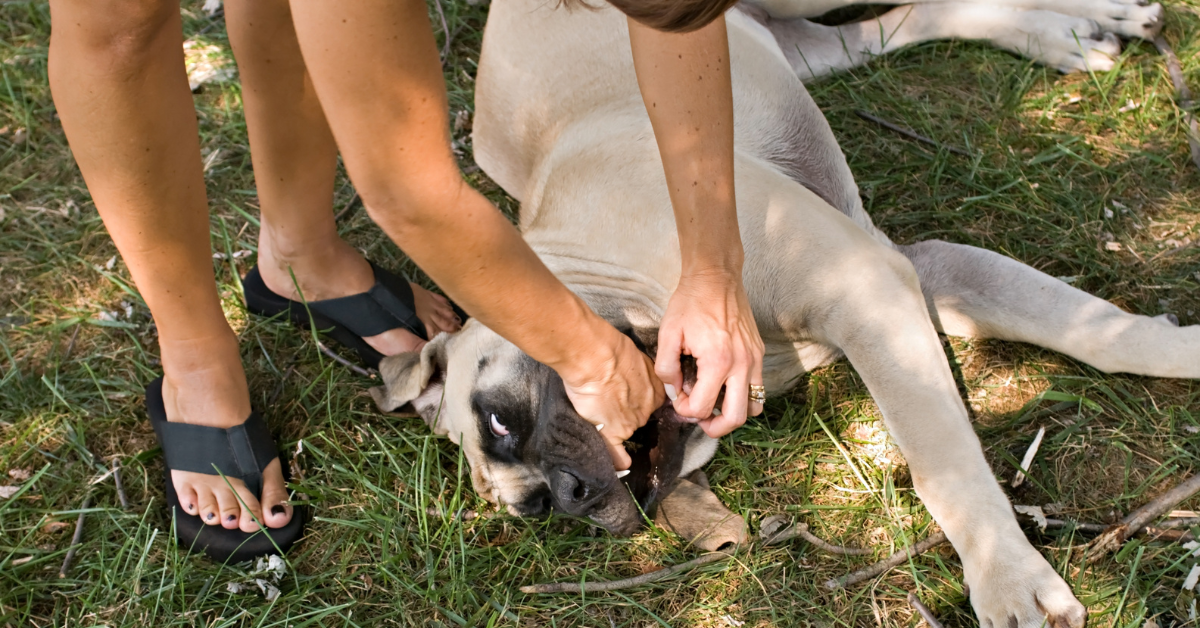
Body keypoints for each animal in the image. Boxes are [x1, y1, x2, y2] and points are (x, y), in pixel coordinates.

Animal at [372, 2, 1190, 624]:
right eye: (537, 510)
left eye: (500, 417)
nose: (574, 498)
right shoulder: (919, 274)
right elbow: (1102, 332)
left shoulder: (869, 289)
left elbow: (943, 464)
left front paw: (1006, 578)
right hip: (796, 47)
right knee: (900, 22)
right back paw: (1069, 33)